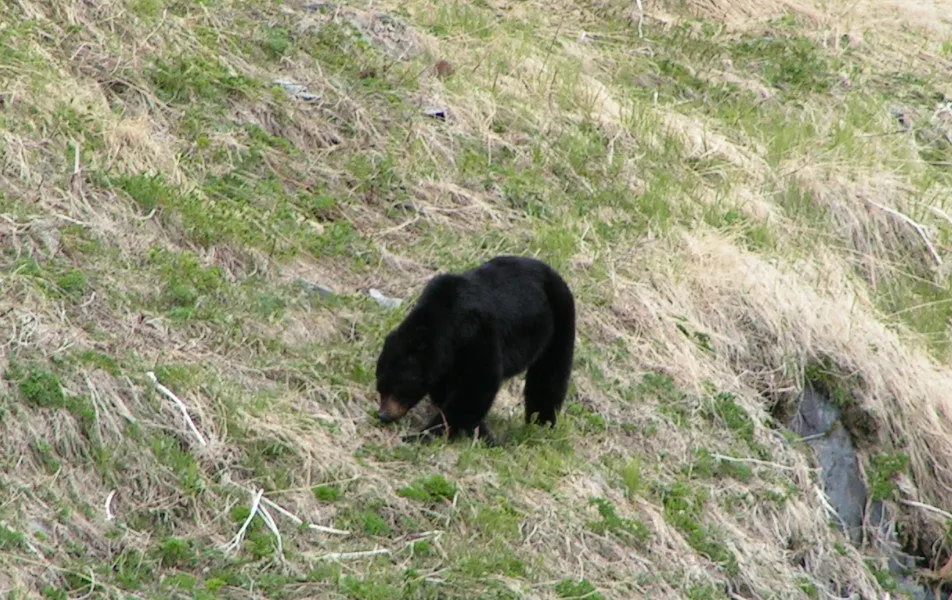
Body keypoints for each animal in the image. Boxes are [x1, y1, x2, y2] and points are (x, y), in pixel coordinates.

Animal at [376, 254, 576, 446]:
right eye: (380, 387)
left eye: (400, 387)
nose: (383, 415)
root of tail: (552, 270)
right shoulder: (449, 357)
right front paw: (481, 433)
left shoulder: (477, 332)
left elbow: (477, 385)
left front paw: (422, 435)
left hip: (559, 319)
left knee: (549, 375)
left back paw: (541, 424)